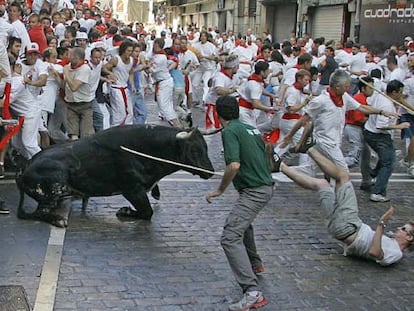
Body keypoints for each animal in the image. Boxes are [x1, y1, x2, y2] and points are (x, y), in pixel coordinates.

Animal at [16, 125, 215, 229]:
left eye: (205, 147)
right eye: (194, 150)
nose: (211, 171)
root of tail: (25, 166)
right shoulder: (132, 189)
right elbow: (147, 212)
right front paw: (125, 211)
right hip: (54, 186)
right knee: (38, 213)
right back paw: (59, 219)